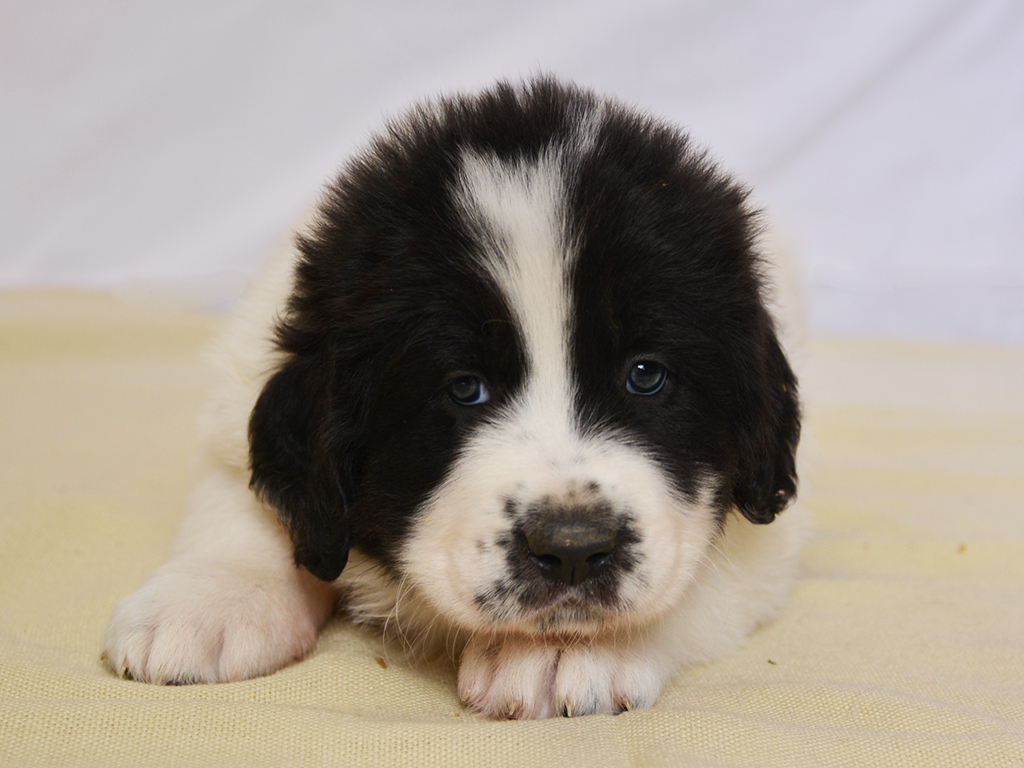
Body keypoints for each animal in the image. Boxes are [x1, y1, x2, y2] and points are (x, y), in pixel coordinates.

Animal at [105, 79, 806, 720]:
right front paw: (207, 603)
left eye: (646, 375)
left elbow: (702, 577)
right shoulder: (240, 394)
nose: (573, 547)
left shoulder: (769, 531)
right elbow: (245, 503)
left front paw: (571, 651)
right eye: (465, 388)